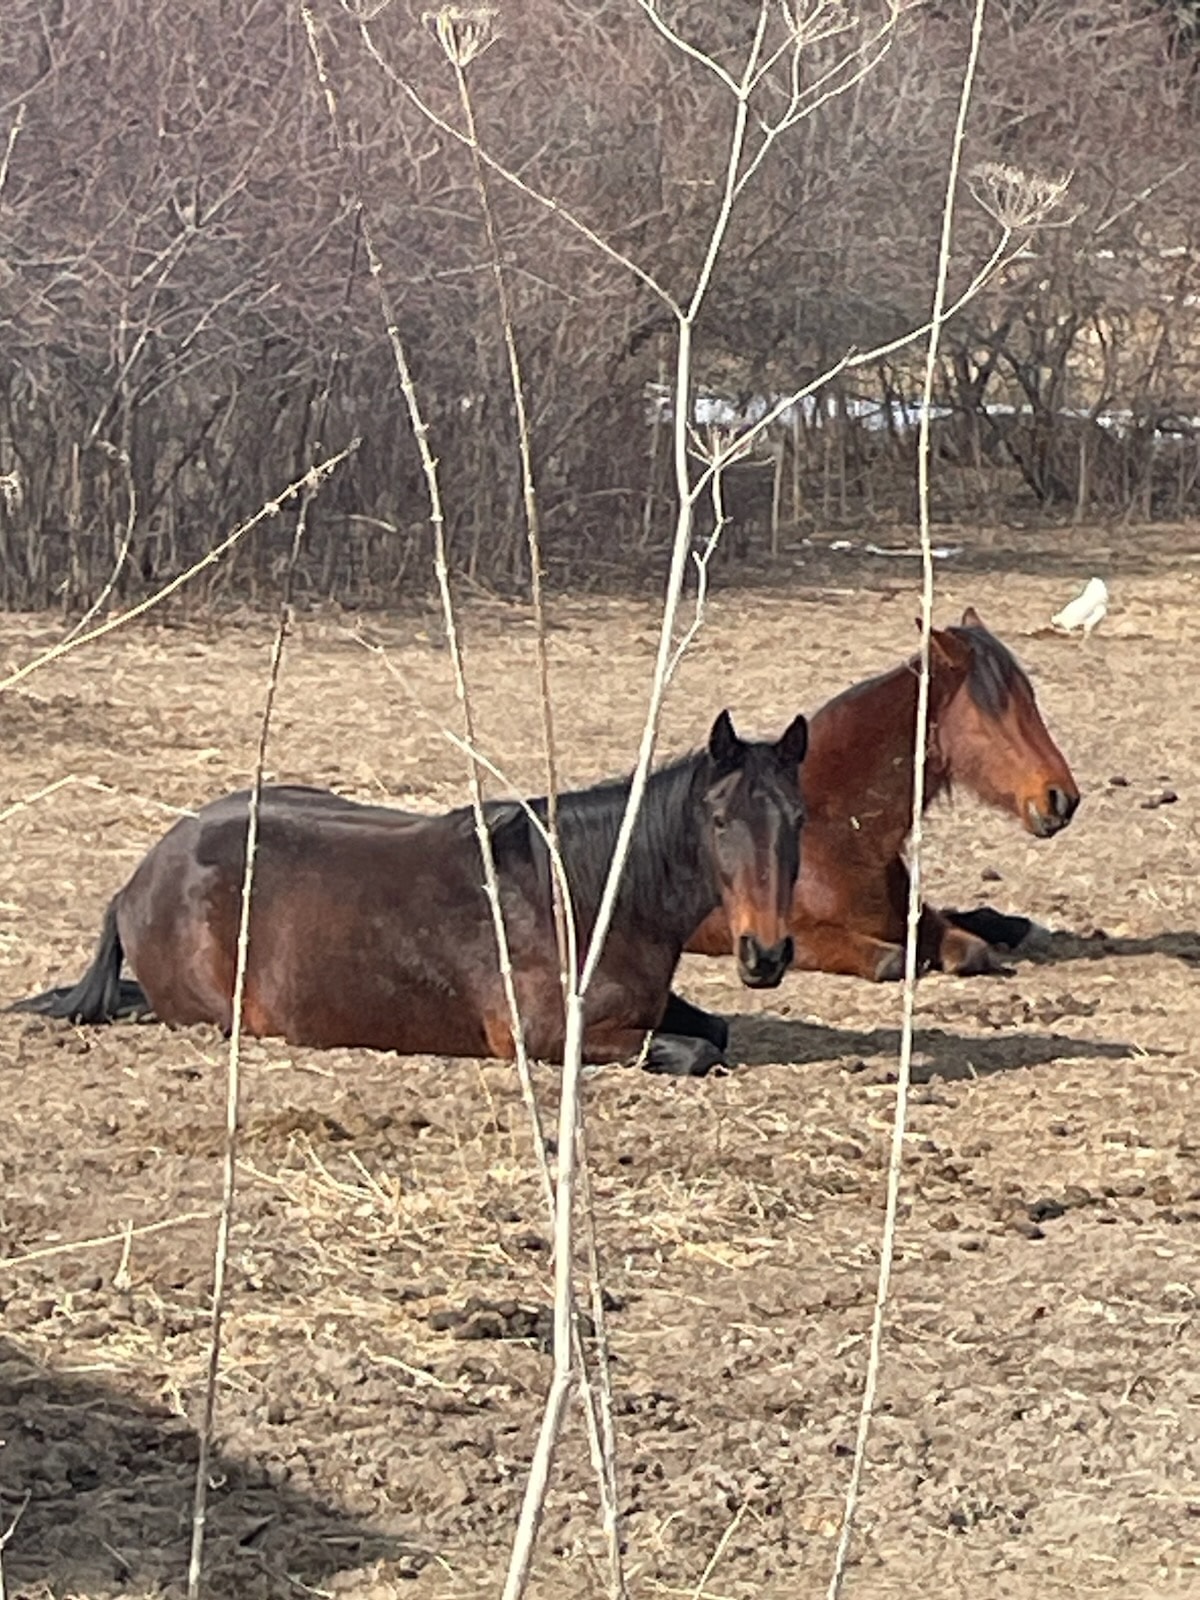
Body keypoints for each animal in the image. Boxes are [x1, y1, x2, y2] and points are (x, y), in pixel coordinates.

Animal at [12, 710, 808, 1077]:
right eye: (719, 820)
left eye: (798, 818)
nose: (765, 955)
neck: (581, 898)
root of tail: (140, 877)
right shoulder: (546, 1037)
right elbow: (696, 1051)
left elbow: (716, 1030)